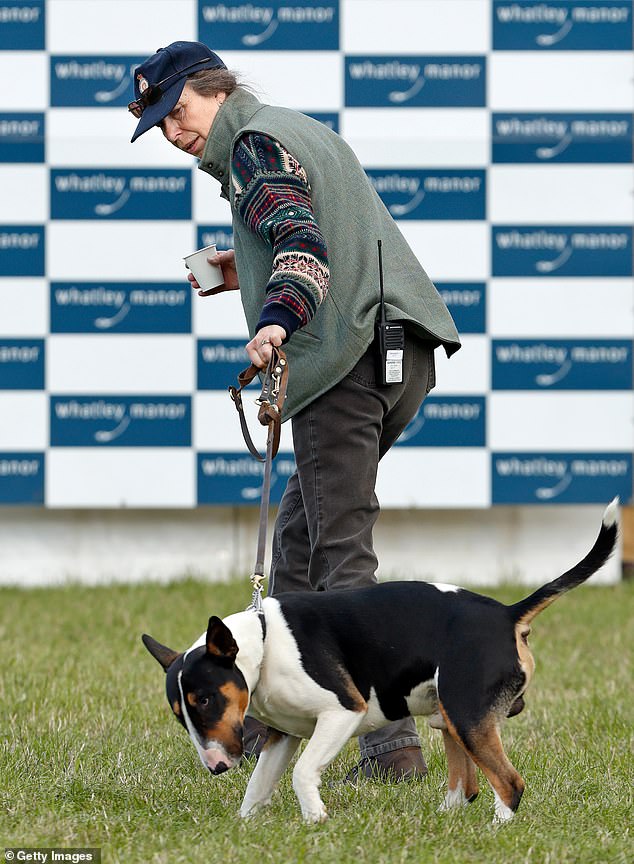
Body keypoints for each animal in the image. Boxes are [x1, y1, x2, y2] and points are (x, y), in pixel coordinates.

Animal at [141, 500, 616, 824]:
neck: (263, 644)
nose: (217, 767)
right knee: (467, 785)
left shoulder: (342, 711)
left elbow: (302, 772)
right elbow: (258, 786)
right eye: (180, 714)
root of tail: (506, 614)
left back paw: (497, 830)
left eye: (205, 700)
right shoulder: (283, 735)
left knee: (509, 784)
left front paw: (316, 820)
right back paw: (444, 823)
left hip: (466, 713)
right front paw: (245, 826)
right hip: (453, 717)